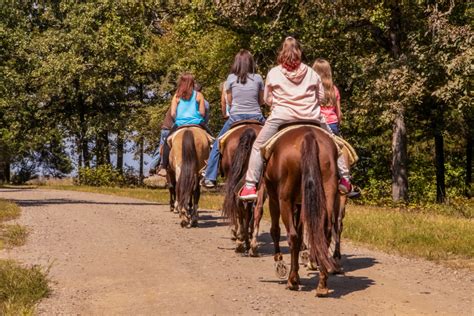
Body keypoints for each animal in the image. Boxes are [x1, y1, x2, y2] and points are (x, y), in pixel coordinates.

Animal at [264, 125, 338, 296]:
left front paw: (281, 264)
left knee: (292, 235)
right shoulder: (299, 203)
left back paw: (291, 281)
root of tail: (308, 135)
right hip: (328, 192)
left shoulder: (275, 200)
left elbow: (276, 230)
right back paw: (322, 284)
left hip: (284, 199)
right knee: (325, 233)